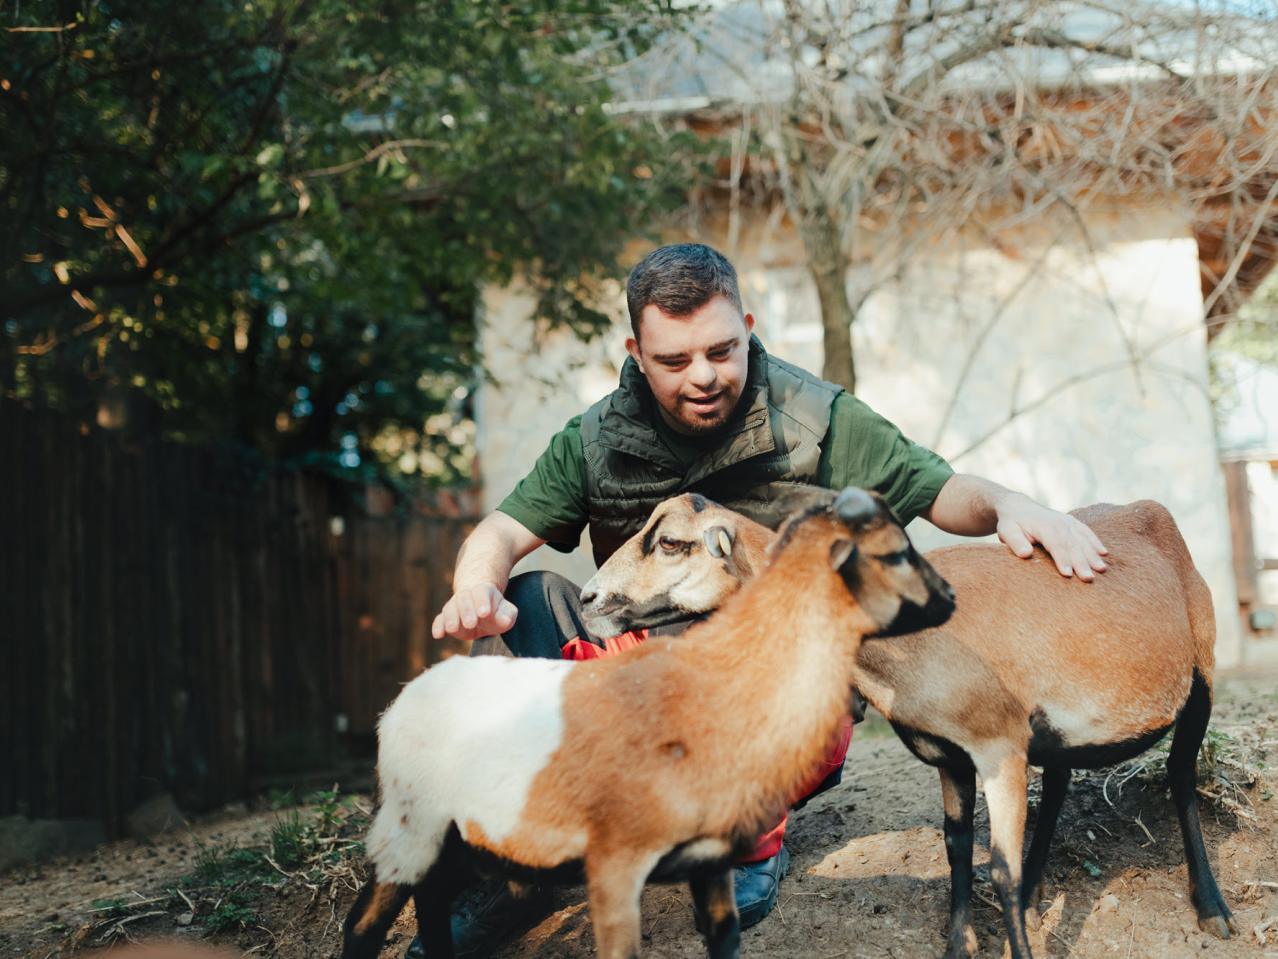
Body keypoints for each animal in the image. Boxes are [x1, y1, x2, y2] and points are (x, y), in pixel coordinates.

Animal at [587, 496, 1237, 959]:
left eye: (670, 542)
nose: (590, 599)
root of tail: (1147, 510)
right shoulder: (952, 756)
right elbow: (957, 849)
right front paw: (961, 945)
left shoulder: (998, 748)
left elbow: (998, 868)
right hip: (1055, 731)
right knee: (1056, 787)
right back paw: (1033, 901)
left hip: (1201, 675)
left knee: (1180, 777)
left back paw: (1212, 909)